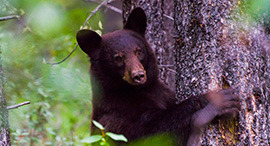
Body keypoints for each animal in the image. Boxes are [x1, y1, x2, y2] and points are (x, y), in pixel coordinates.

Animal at [75, 7, 238, 145]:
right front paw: (216, 101)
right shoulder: (114, 118)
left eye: (138, 51)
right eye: (118, 58)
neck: (136, 91)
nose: (138, 76)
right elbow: (152, 131)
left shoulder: (162, 93)